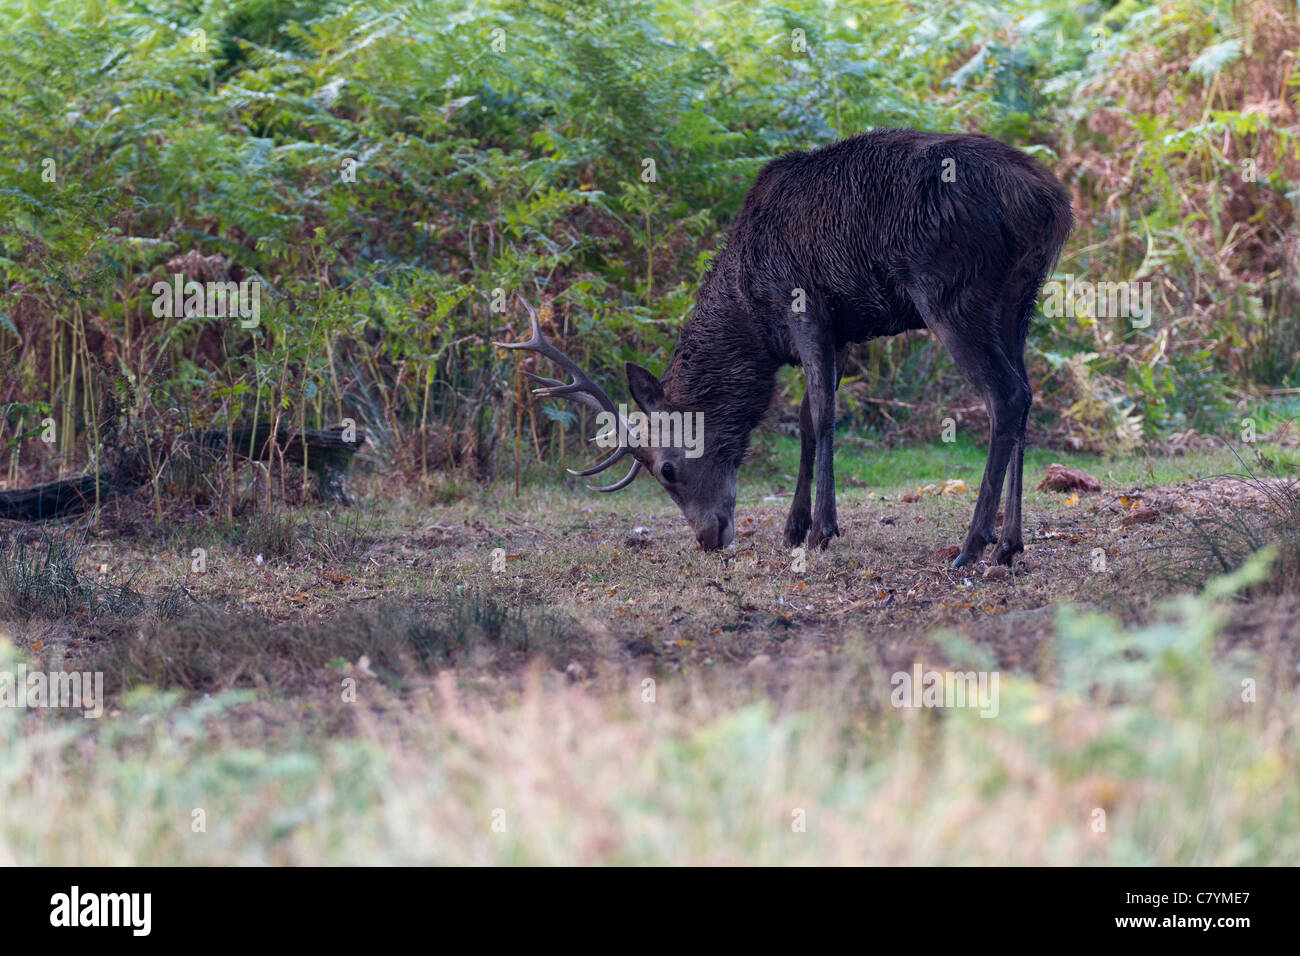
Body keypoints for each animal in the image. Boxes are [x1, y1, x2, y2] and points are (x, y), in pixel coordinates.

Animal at [496, 132, 1066, 567]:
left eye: (667, 470)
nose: (708, 538)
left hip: (949, 290)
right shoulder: (841, 330)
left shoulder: (805, 304)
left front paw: (822, 530)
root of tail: (1053, 202)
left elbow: (823, 413)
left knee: (1004, 397)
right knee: (1026, 392)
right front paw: (793, 526)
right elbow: (808, 418)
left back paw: (971, 546)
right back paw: (1010, 545)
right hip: (1021, 300)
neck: (752, 317)